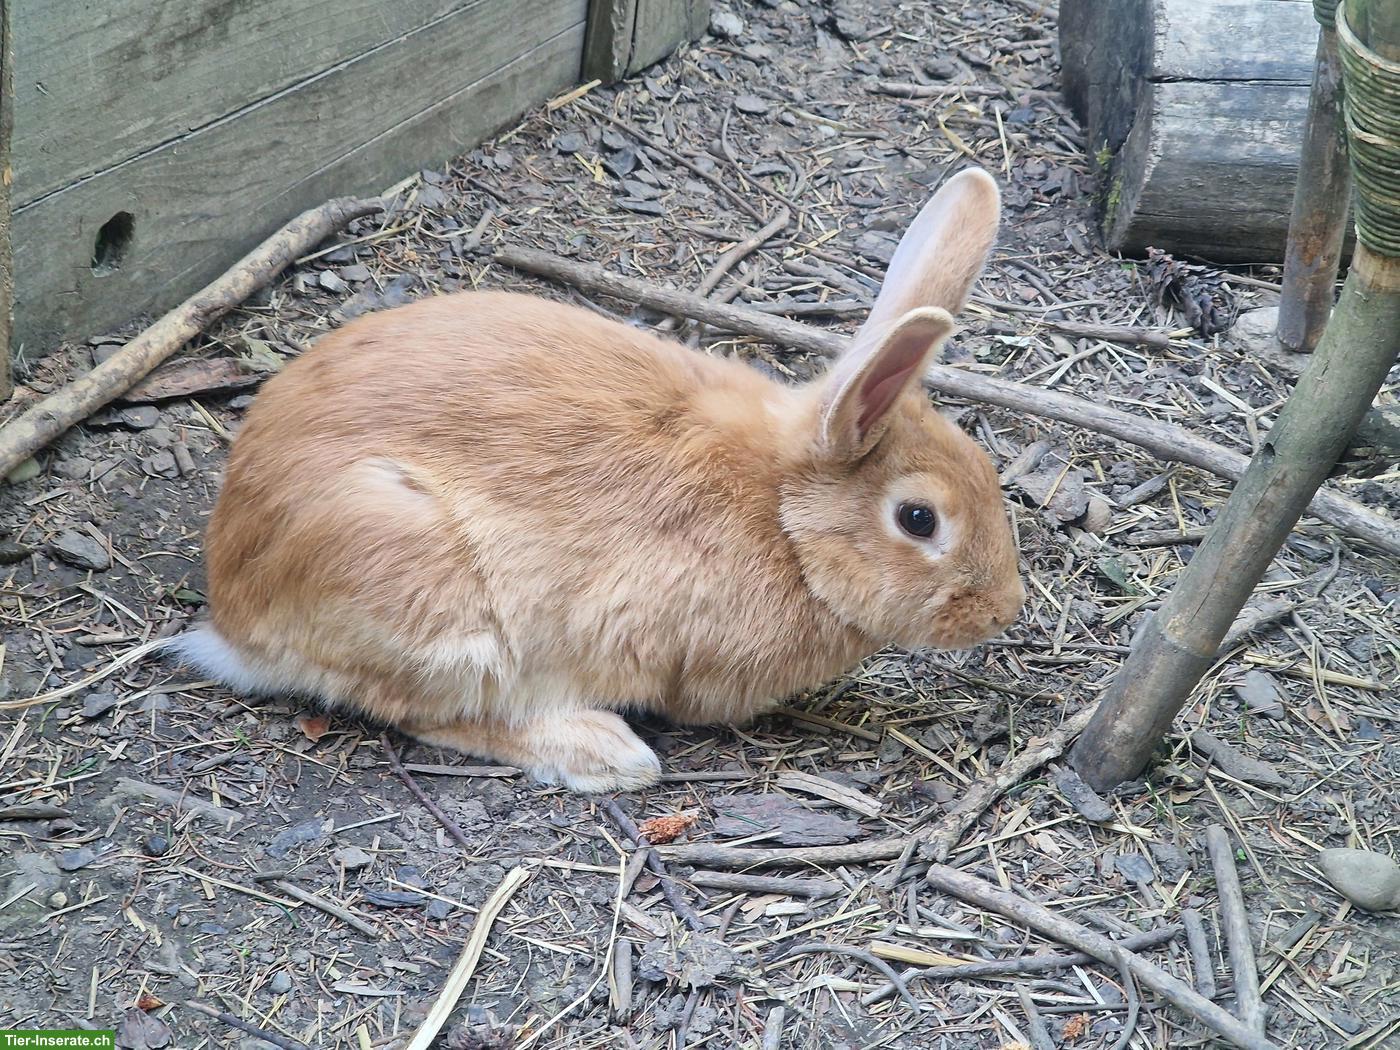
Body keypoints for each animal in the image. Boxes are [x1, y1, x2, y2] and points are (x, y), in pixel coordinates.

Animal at [170, 166, 1025, 792]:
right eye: (918, 520)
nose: (1003, 612)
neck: (783, 515)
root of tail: (235, 611)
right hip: (433, 604)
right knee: (426, 710)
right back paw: (605, 753)